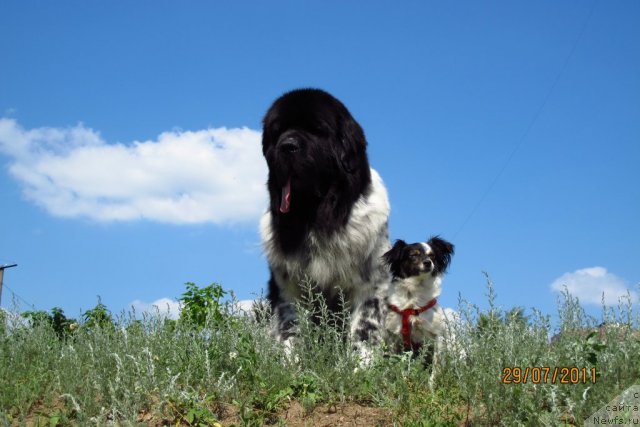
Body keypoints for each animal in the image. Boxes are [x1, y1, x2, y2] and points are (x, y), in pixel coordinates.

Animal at [258, 88, 390, 352]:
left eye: (316, 130)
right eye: (277, 132)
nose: (287, 146)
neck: (316, 219)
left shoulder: (371, 286)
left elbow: (364, 330)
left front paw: (362, 361)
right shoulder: (289, 288)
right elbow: (291, 328)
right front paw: (290, 359)